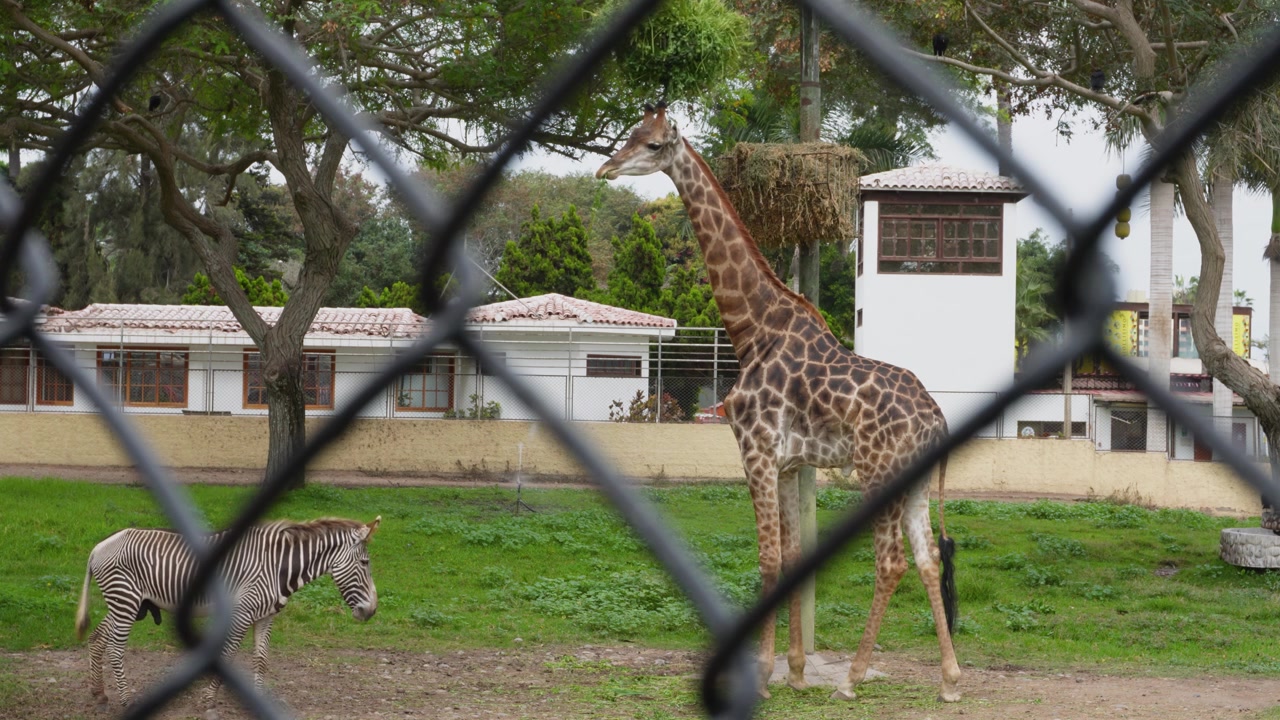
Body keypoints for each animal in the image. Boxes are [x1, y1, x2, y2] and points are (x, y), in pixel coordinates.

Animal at [75, 515, 381, 707]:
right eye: (365, 563)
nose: (372, 612)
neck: (277, 566)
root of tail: (99, 547)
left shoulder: (266, 616)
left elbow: (261, 660)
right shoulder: (242, 613)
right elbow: (227, 654)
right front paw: (209, 700)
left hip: (124, 603)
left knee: (97, 639)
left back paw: (99, 693)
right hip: (125, 601)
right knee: (115, 649)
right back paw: (125, 700)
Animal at [596, 104, 961, 703]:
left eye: (650, 144)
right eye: (628, 134)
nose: (605, 168)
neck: (752, 329)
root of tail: (938, 420)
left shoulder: (756, 451)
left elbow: (767, 559)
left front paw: (764, 675)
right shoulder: (789, 463)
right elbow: (791, 559)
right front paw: (792, 669)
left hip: (878, 472)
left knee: (892, 563)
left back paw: (853, 679)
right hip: (915, 481)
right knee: (929, 560)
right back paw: (951, 680)